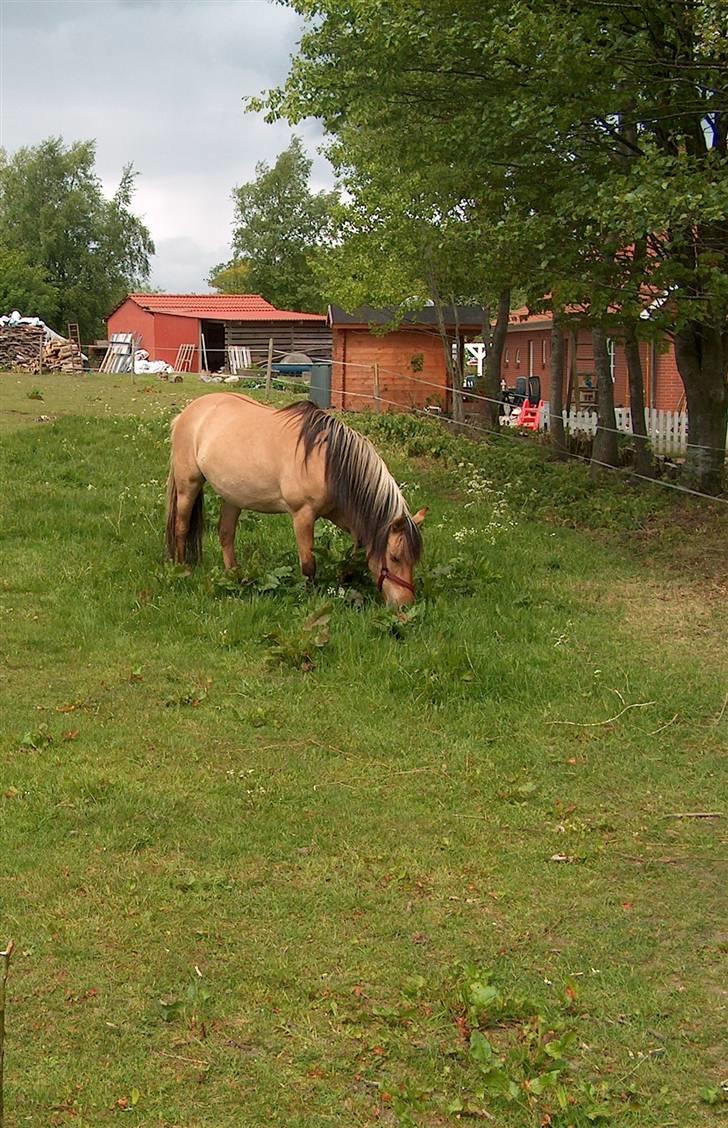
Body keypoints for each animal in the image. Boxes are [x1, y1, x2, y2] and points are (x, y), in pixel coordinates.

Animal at [164, 399, 426, 609]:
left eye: (414, 559)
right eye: (394, 558)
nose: (405, 605)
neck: (328, 462)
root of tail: (190, 411)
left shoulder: (343, 516)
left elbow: (356, 552)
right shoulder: (303, 515)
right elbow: (308, 564)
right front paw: (310, 597)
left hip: (232, 496)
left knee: (226, 534)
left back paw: (235, 577)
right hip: (188, 485)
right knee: (181, 527)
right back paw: (182, 568)